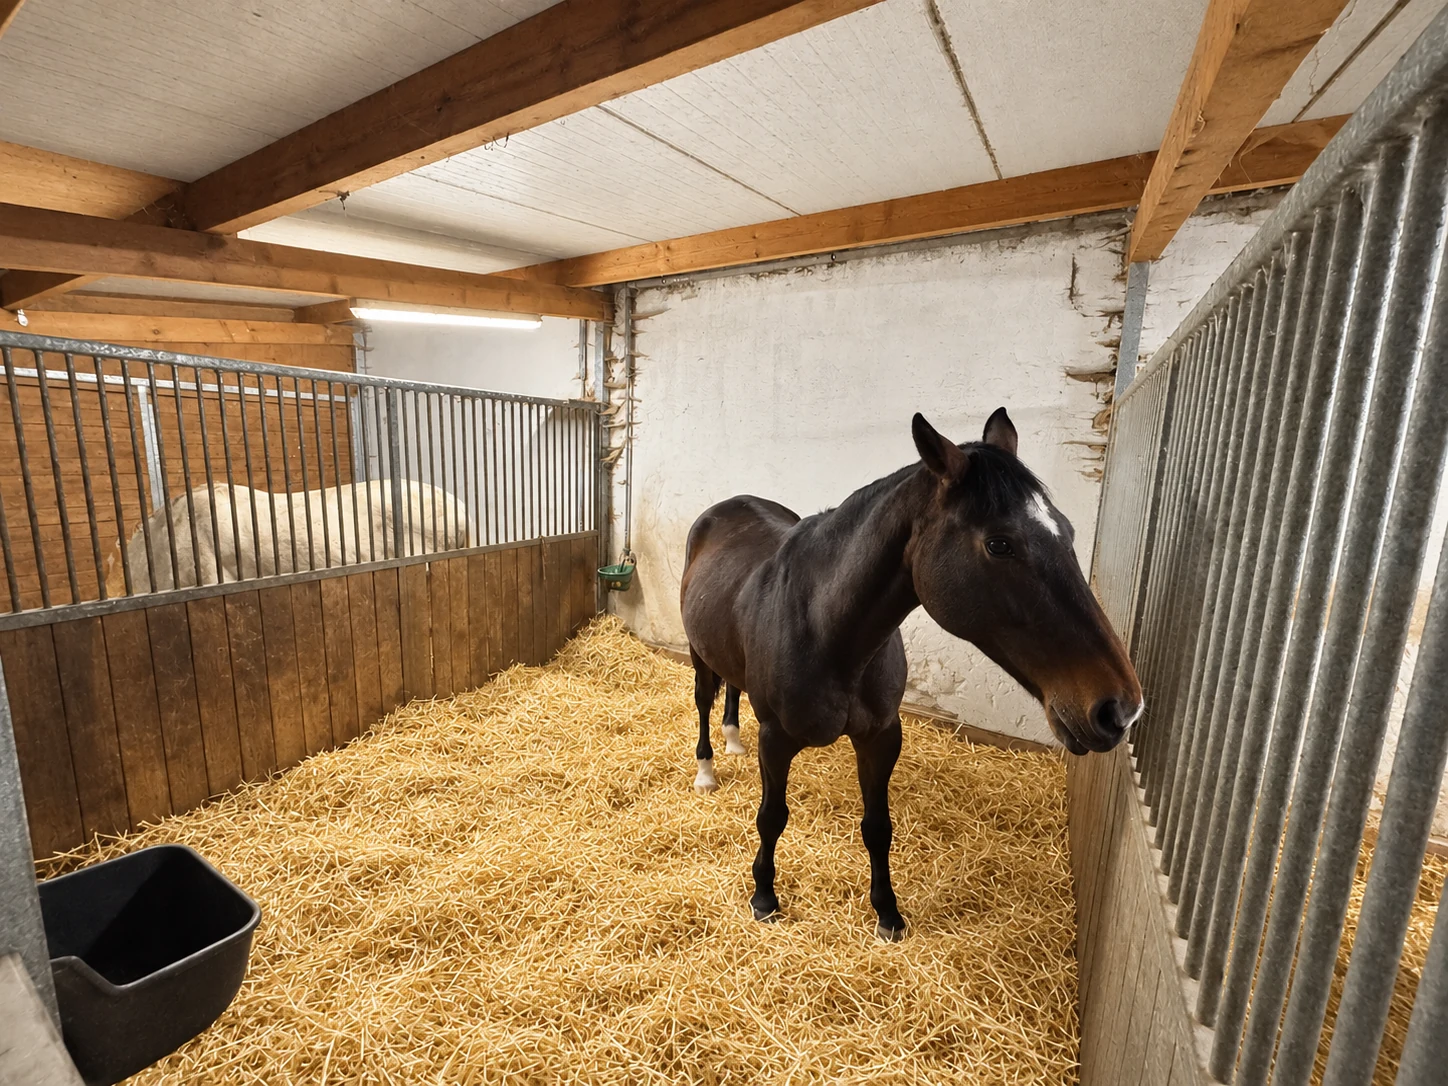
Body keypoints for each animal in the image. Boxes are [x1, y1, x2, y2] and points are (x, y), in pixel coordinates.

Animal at [680, 408, 1142, 940]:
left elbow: (878, 827)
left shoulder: (881, 736)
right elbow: (772, 817)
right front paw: (764, 896)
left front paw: (888, 913)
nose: (1120, 708)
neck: (825, 628)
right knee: (704, 700)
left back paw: (734, 741)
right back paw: (708, 770)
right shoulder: (775, 738)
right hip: (697, 652)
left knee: (732, 689)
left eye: (1067, 531)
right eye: (999, 544)